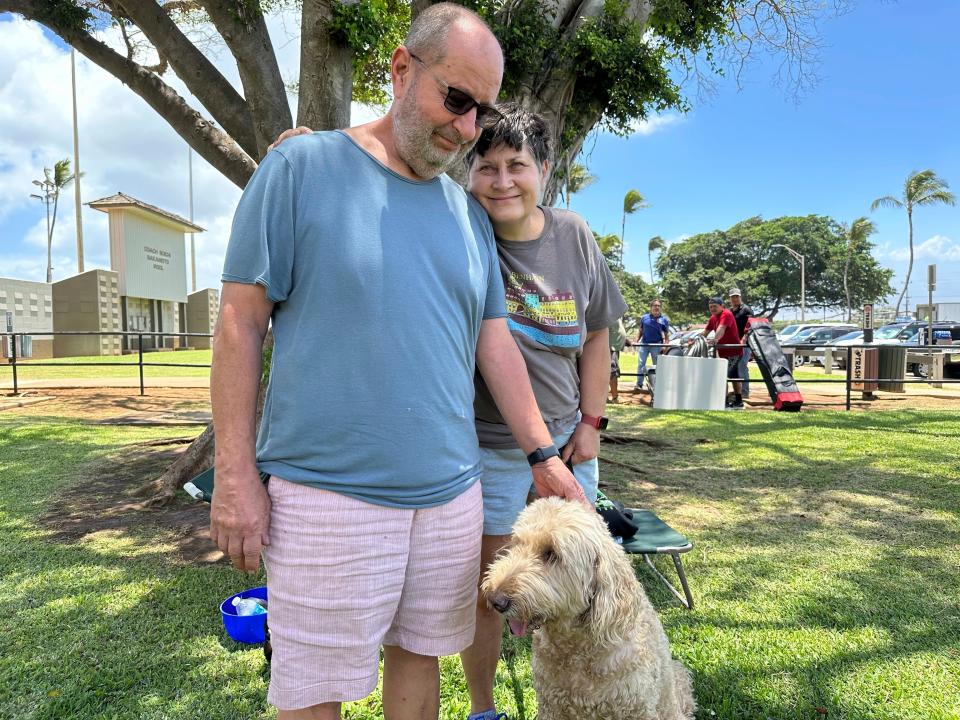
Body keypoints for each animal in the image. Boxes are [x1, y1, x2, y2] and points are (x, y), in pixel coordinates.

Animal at [484, 498, 692, 716]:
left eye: (551, 553)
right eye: (516, 544)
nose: (495, 600)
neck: (576, 646)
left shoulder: (636, 707)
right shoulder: (550, 704)